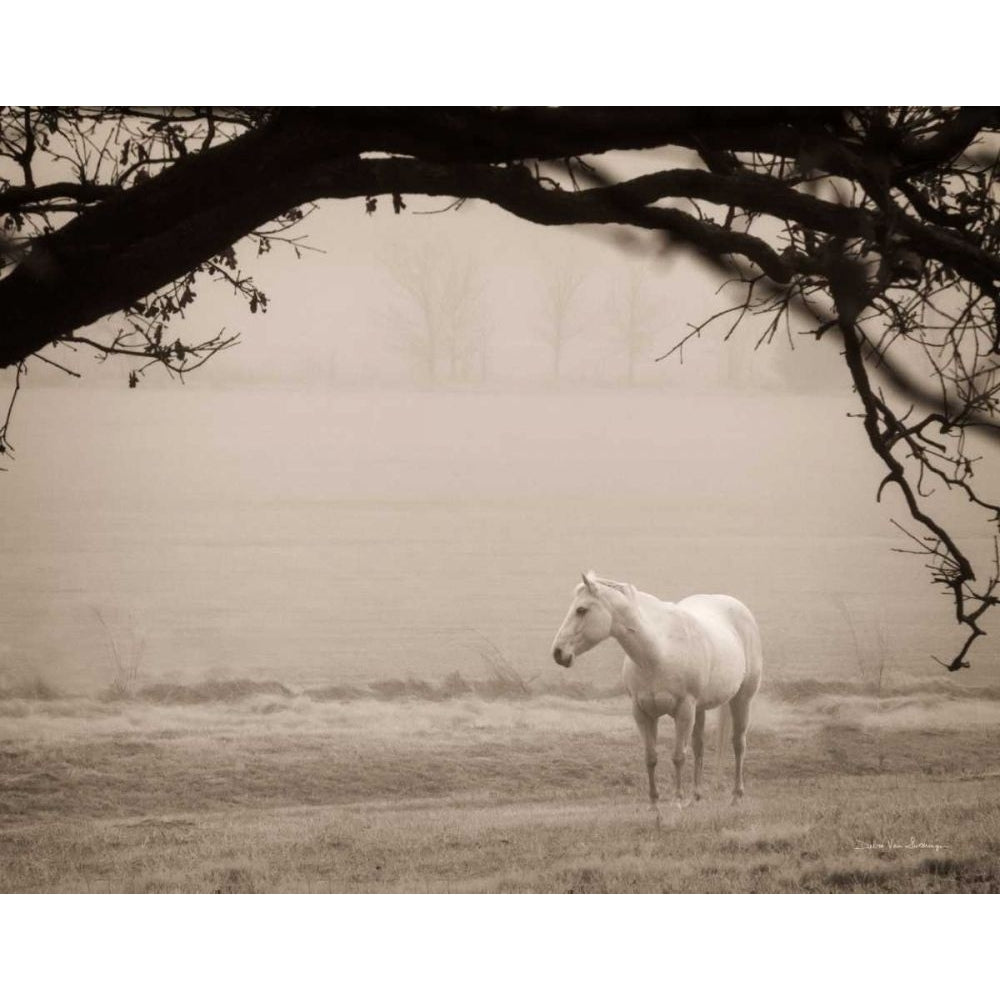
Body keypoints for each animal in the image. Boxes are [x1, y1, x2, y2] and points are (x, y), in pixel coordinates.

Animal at [552, 576, 760, 816]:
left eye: (581, 610)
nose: (558, 653)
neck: (658, 651)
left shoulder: (684, 710)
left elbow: (678, 756)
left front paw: (676, 801)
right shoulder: (643, 713)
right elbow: (651, 758)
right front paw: (653, 804)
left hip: (741, 699)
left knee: (738, 744)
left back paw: (736, 796)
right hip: (700, 709)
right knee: (699, 746)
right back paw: (695, 799)